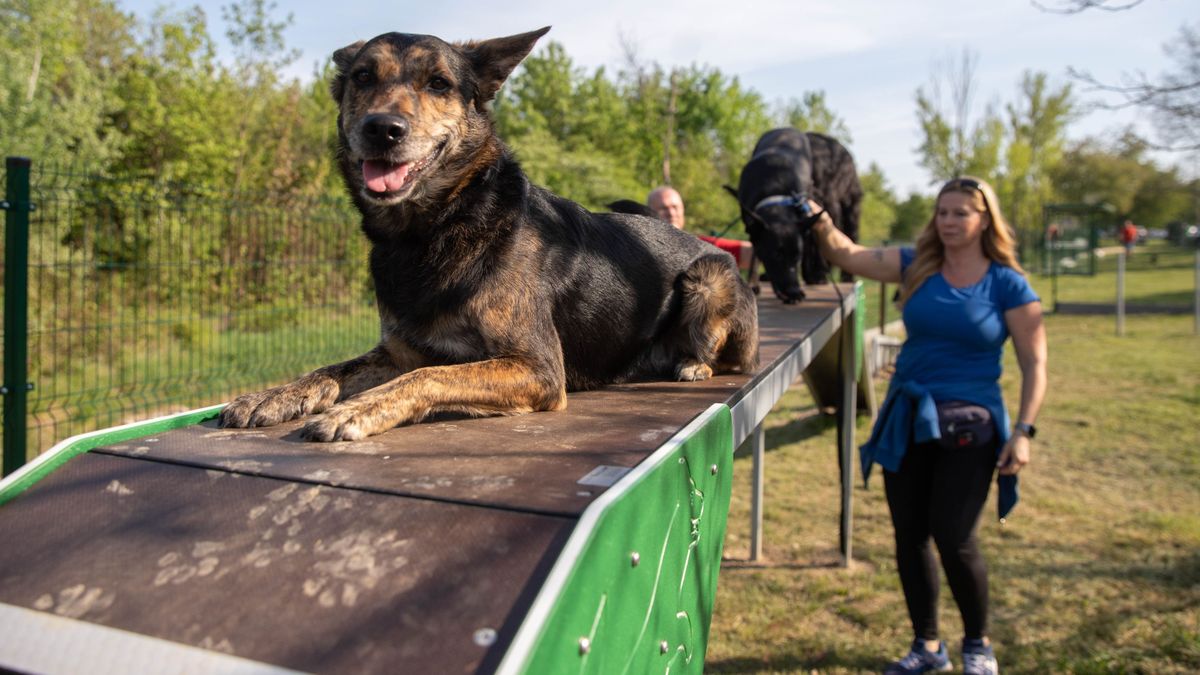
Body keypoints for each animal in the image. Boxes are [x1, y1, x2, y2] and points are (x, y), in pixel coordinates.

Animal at [218, 26, 758, 439]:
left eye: (438, 83)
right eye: (363, 77)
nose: (382, 129)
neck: (434, 228)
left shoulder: (536, 367)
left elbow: (427, 376)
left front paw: (357, 408)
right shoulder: (397, 351)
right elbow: (334, 369)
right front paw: (274, 395)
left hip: (708, 278)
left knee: (725, 358)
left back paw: (691, 363)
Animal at [734, 125, 859, 302]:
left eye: (796, 257)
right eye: (776, 255)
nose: (793, 291)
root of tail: (786, 128)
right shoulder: (753, 223)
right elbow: (755, 254)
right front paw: (753, 283)